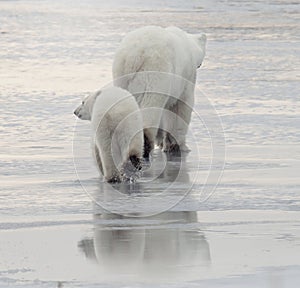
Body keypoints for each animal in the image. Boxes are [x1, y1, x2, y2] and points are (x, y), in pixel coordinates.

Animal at [112, 25, 206, 159]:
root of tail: (133, 56)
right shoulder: (185, 78)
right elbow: (180, 107)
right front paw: (179, 146)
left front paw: (164, 143)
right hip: (155, 72)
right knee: (151, 107)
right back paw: (145, 148)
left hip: (121, 77)